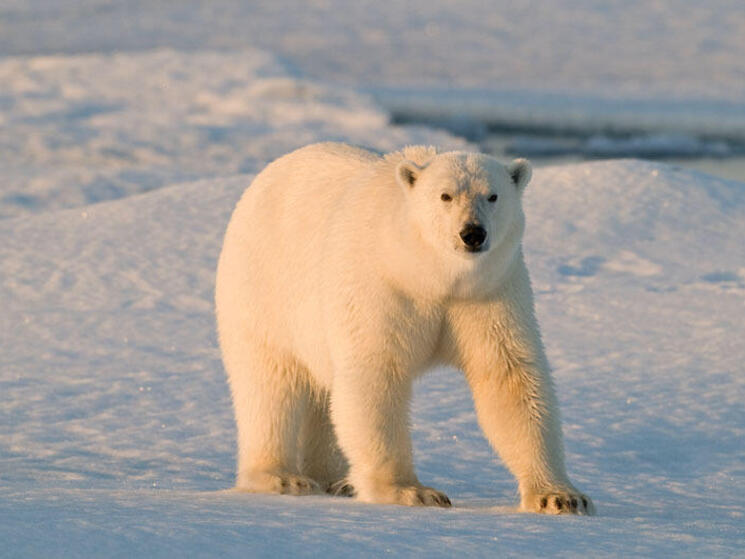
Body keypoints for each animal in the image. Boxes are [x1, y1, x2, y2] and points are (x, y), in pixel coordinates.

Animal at [215, 142, 592, 516]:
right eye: (445, 196)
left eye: (493, 195)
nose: (472, 233)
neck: (425, 272)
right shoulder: (380, 288)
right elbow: (376, 375)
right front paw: (412, 492)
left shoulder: (488, 293)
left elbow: (509, 377)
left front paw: (560, 497)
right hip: (262, 288)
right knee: (270, 383)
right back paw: (282, 477)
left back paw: (337, 480)